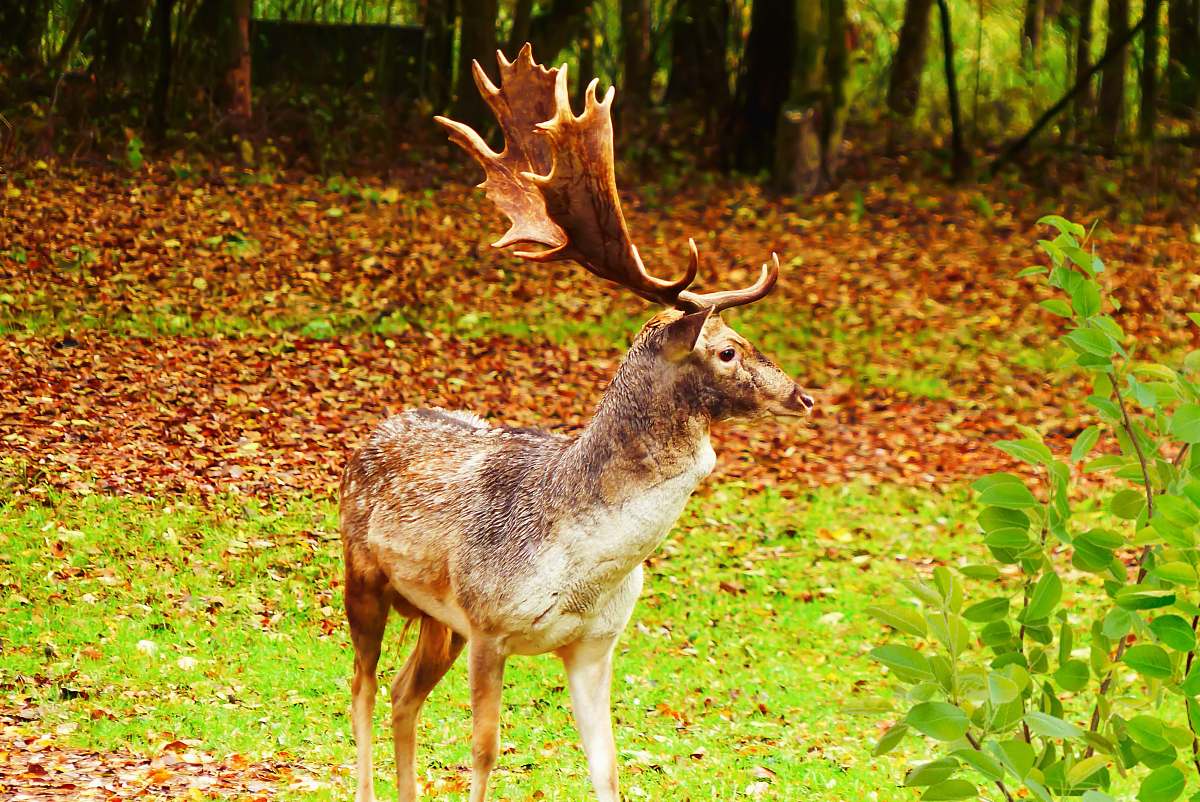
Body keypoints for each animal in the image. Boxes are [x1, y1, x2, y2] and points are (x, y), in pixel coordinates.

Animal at [343, 43, 820, 802]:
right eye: (725, 349)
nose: (802, 397)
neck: (580, 561)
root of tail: (374, 431)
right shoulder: (489, 623)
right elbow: (484, 752)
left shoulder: (596, 643)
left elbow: (608, 765)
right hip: (362, 578)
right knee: (361, 686)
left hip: (437, 622)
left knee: (400, 694)